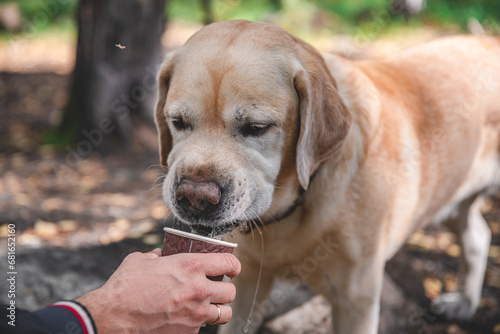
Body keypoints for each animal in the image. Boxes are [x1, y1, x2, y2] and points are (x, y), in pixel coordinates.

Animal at [154, 20, 498, 334]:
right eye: (178, 121)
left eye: (256, 127)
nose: (195, 197)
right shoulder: (249, 279)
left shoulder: (356, 300)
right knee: (478, 236)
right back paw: (464, 302)